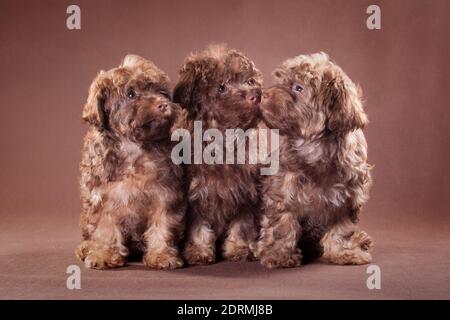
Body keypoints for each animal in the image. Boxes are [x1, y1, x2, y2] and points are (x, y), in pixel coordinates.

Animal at [75, 55, 186, 270]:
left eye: (161, 92)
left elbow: (162, 225)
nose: (163, 104)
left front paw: (161, 255)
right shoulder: (102, 197)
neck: (133, 147)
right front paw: (104, 254)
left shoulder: (164, 194)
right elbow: (104, 228)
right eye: (131, 94)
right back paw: (85, 248)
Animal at [173, 45, 264, 264]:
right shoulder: (196, 195)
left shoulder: (246, 193)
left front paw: (239, 248)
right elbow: (198, 226)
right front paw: (198, 250)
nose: (255, 95)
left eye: (249, 81)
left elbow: (242, 224)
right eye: (221, 87)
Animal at [255, 52, 374, 268]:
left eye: (298, 88)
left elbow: (342, 229)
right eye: (280, 81)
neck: (316, 147)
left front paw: (344, 252)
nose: (264, 94)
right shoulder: (282, 188)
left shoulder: (348, 195)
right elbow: (281, 224)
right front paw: (278, 254)